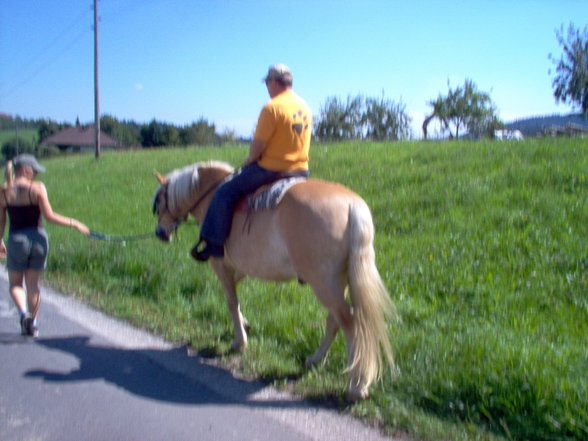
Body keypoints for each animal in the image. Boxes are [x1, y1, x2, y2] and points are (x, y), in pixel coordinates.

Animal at [154, 161, 398, 398]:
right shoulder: (241, 267)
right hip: (340, 281)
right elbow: (236, 295)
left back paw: (356, 385)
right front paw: (244, 324)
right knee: (334, 320)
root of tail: (352, 206)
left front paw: (239, 342)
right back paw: (316, 359)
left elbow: (231, 302)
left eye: (159, 203)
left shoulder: (220, 265)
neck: (211, 194)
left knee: (349, 323)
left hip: (324, 283)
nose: (160, 233)